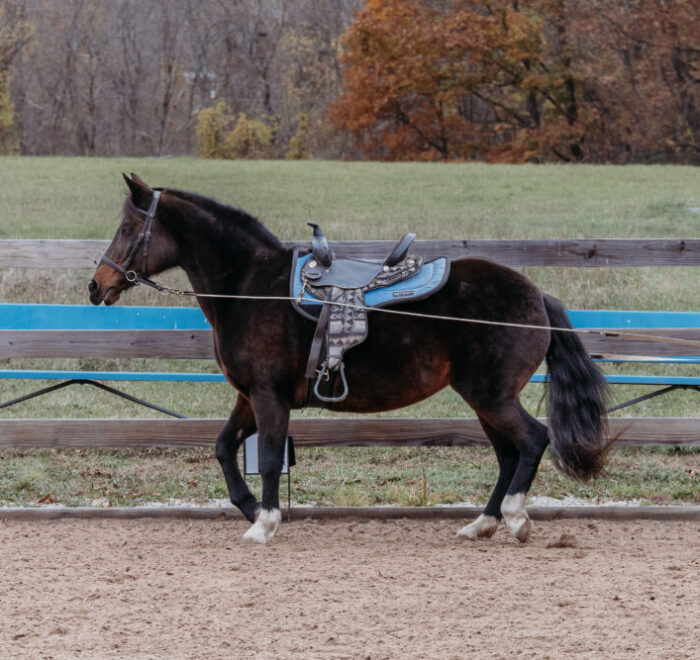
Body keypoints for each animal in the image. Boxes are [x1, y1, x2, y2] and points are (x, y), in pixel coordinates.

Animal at [89, 173, 609, 544]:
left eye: (129, 228)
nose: (97, 286)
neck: (249, 286)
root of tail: (537, 296)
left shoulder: (269, 396)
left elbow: (271, 457)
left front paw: (265, 522)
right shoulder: (249, 396)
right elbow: (222, 447)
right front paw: (251, 508)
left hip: (492, 396)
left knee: (532, 440)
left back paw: (517, 518)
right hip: (485, 400)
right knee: (508, 455)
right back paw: (481, 523)